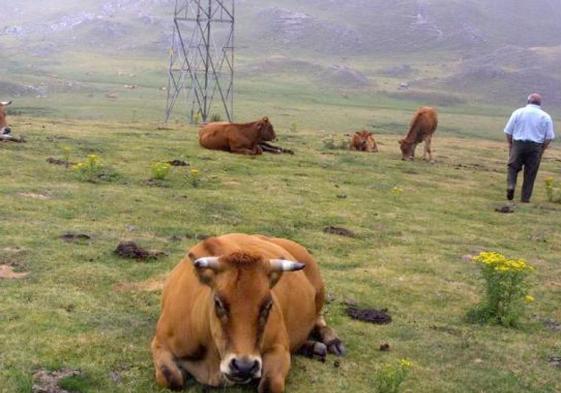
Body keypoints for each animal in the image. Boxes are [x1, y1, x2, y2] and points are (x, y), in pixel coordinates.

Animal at [151, 234, 344, 390]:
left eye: (268, 305)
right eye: (218, 302)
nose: (244, 366)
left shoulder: (279, 348)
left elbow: (271, 384)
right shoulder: (160, 343)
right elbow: (171, 377)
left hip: (319, 290)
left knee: (318, 318)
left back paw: (331, 341)